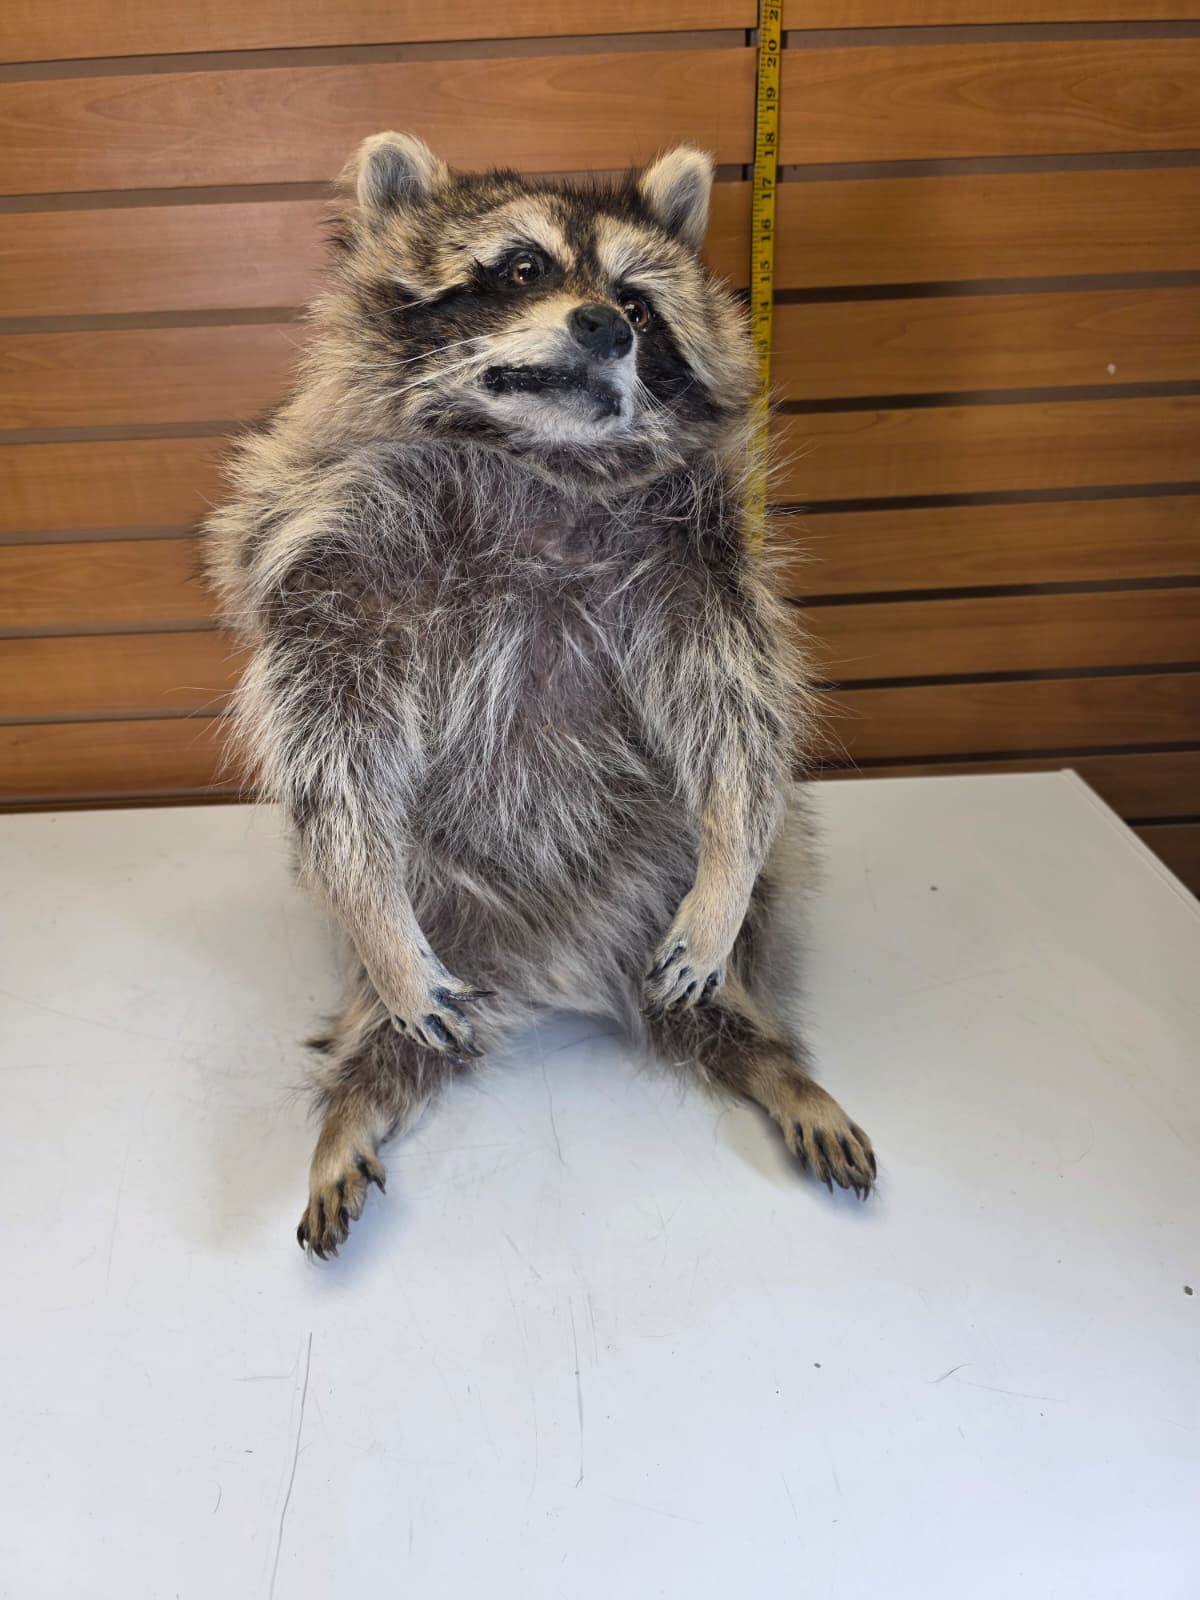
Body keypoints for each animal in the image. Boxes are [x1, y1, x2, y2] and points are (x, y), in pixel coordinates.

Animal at [205, 133, 876, 1258]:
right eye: (523, 268)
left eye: (640, 304)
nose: (603, 323)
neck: (537, 459)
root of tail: (555, 977)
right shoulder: (330, 561)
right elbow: (333, 761)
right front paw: (372, 908)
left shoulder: (703, 569)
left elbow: (739, 726)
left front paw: (730, 859)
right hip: (445, 921)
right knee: (392, 1031)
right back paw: (354, 1103)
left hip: (662, 894)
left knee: (726, 977)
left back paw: (771, 1059)